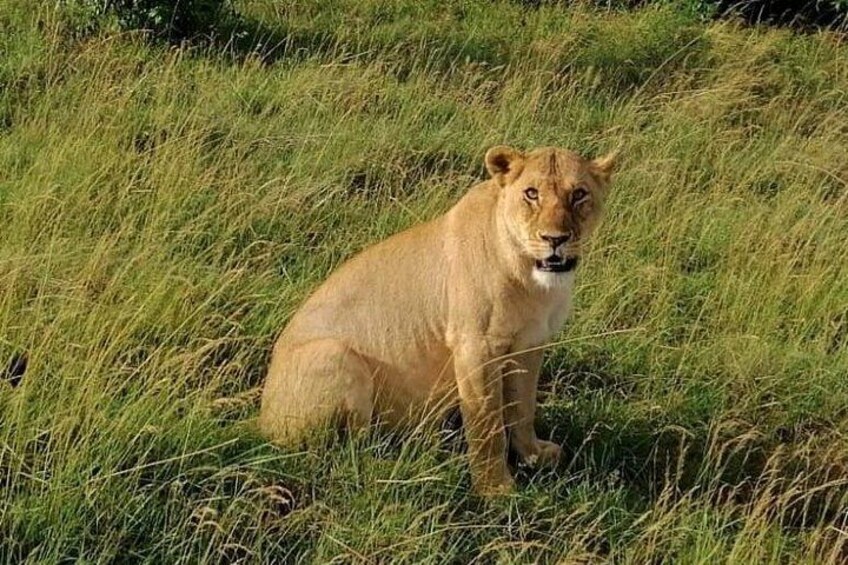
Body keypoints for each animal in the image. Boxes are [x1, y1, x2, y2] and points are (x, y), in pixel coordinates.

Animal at [259, 145, 616, 494]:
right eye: (531, 193)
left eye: (579, 194)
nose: (555, 239)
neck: (533, 279)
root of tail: (260, 419)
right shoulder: (476, 347)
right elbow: (487, 423)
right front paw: (495, 490)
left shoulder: (530, 343)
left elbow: (523, 407)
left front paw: (534, 455)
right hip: (334, 353)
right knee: (348, 451)